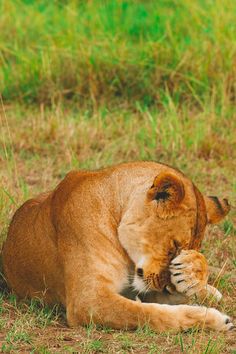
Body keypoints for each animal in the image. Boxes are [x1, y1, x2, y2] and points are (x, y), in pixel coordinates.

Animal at [2, 161, 234, 332]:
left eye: (186, 249)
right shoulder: (87, 301)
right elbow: (149, 314)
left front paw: (192, 271)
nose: (165, 287)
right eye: (174, 245)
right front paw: (214, 319)